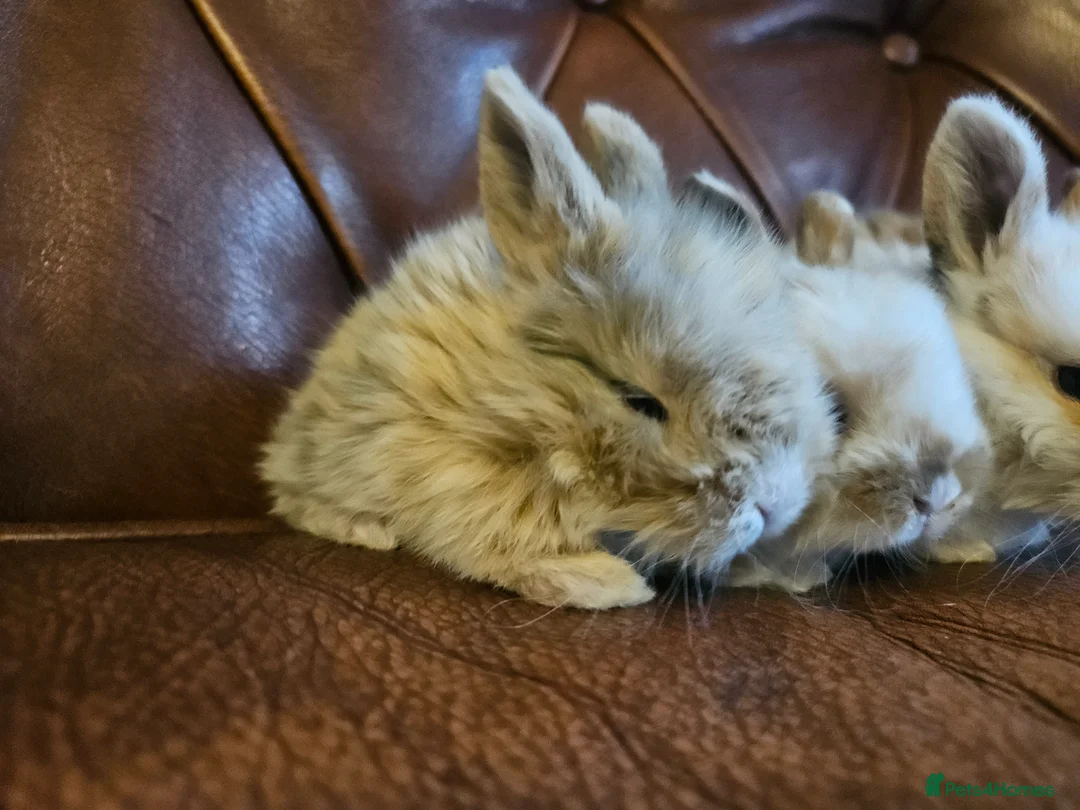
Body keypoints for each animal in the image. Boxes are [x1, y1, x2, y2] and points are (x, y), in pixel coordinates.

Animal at [260, 67, 837, 609]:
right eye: (638, 399)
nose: (775, 506)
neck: (519, 393)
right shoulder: (440, 467)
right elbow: (504, 532)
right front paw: (606, 583)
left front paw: (798, 572)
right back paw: (364, 530)